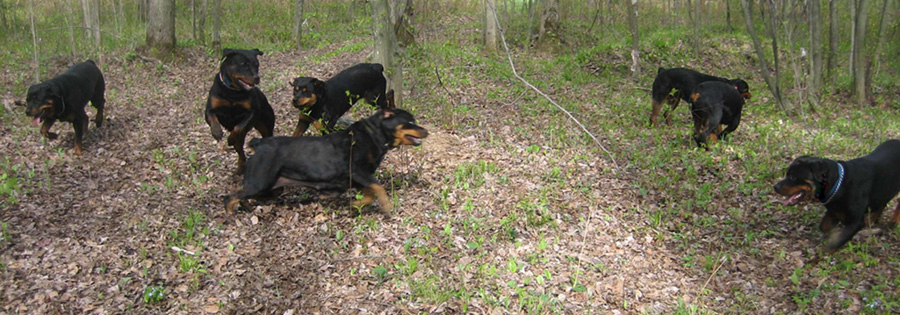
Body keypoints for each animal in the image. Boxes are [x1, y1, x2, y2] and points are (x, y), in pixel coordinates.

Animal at [221, 109, 426, 217]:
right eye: (409, 122)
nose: (426, 131)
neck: (373, 135)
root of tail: (258, 144)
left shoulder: (358, 178)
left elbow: (369, 194)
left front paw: (354, 205)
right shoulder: (356, 171)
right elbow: (379, 187)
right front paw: (387, 206)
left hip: (271, 188)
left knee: (247, 196)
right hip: (259, 182)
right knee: (230, 197)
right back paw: (231, 215)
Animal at [768, 139, 900, 253]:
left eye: (793, 177)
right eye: (787, 174)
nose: (775, 187)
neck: (839, 184)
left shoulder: (856, 222)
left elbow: (837, 241)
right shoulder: (833, 210)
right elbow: (824, 226)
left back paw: (892, 222)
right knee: (882, 203)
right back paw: (871, 220)